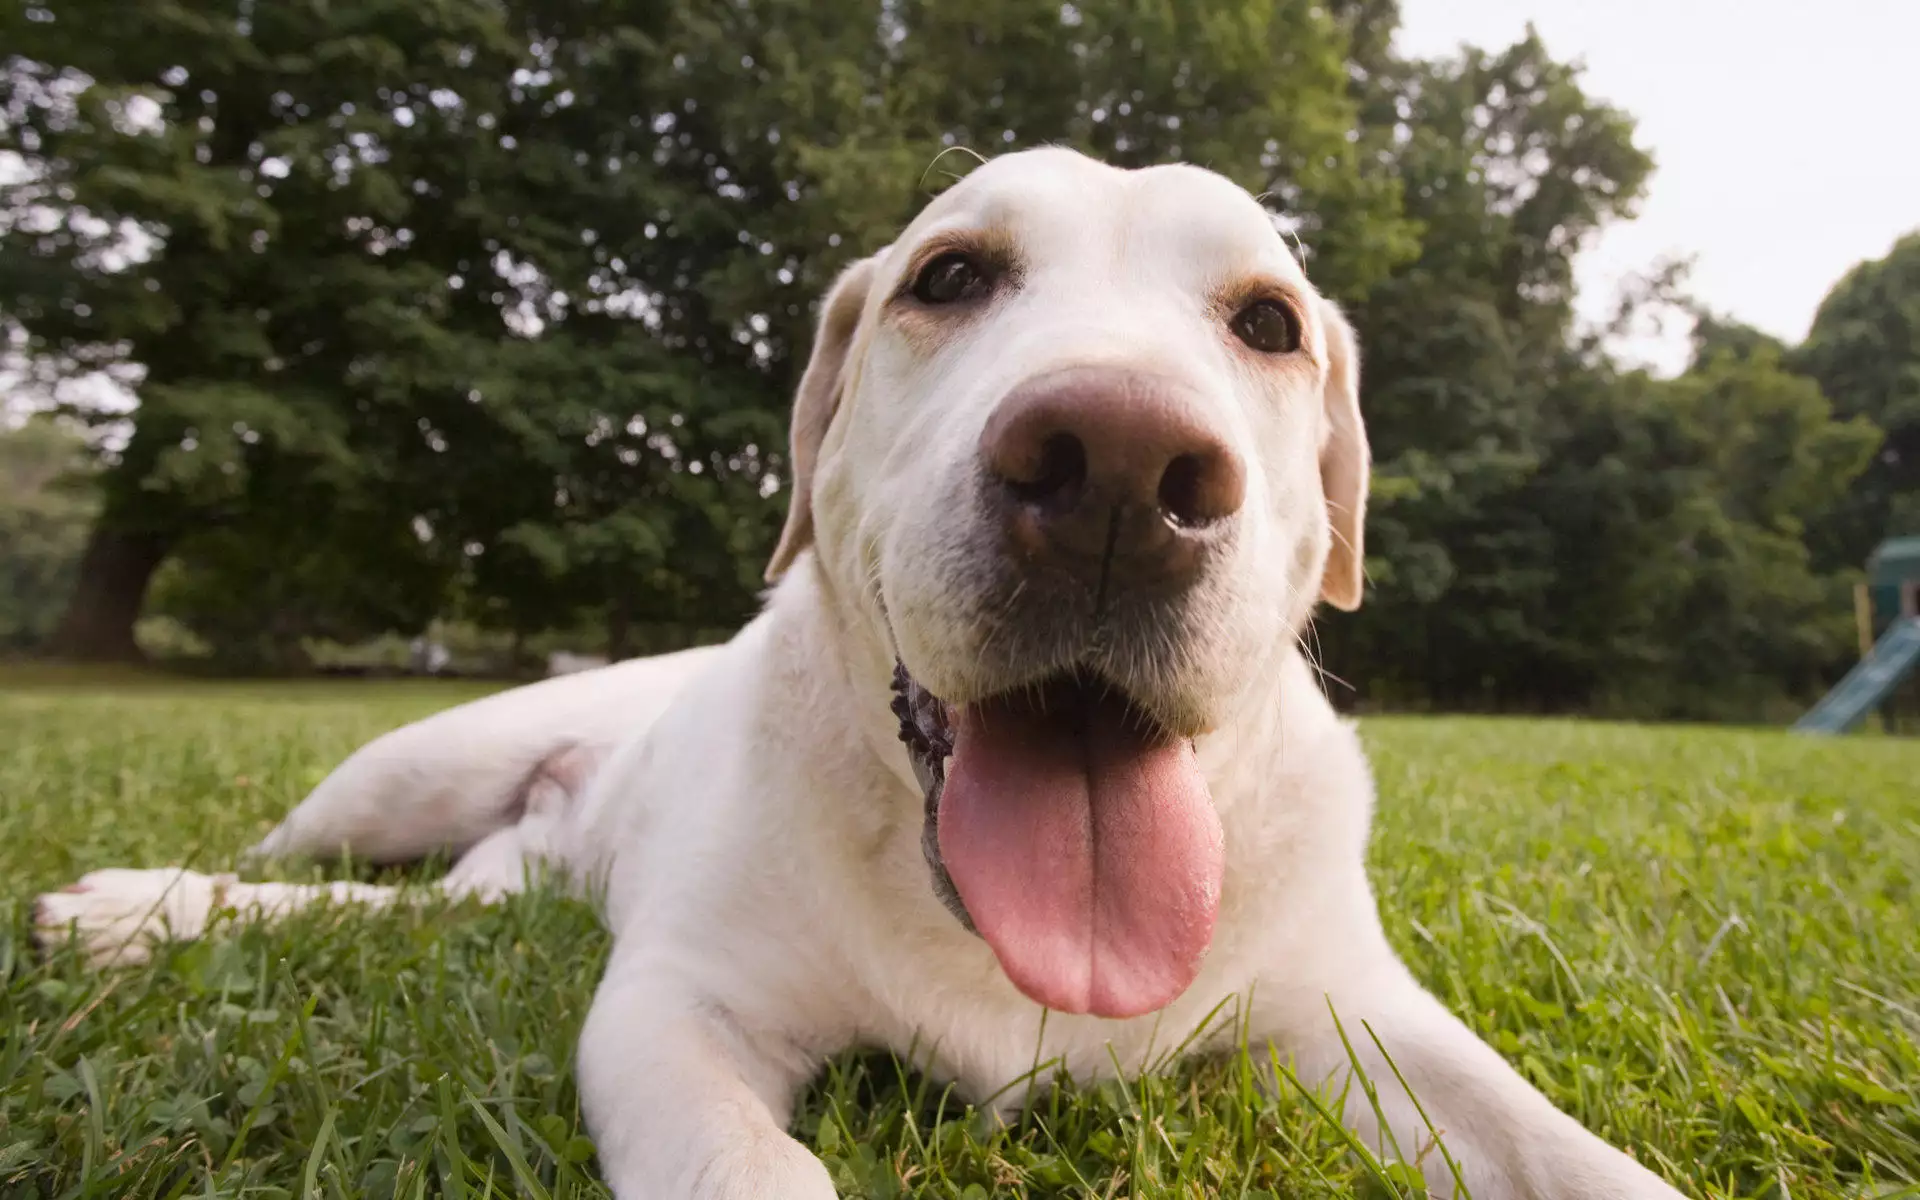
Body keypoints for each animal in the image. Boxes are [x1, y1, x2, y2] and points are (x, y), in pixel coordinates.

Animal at [37, 149, 1689, 1198]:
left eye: (1269, 323)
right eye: (949, 277)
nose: (1119, 469)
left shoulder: (1349, 1015)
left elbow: (1572, 1154)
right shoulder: (674, 1008)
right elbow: (750, 1165)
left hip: (496, 876)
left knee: (421, 919)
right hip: (409, 769)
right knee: (297, 882)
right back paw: (131, 909)